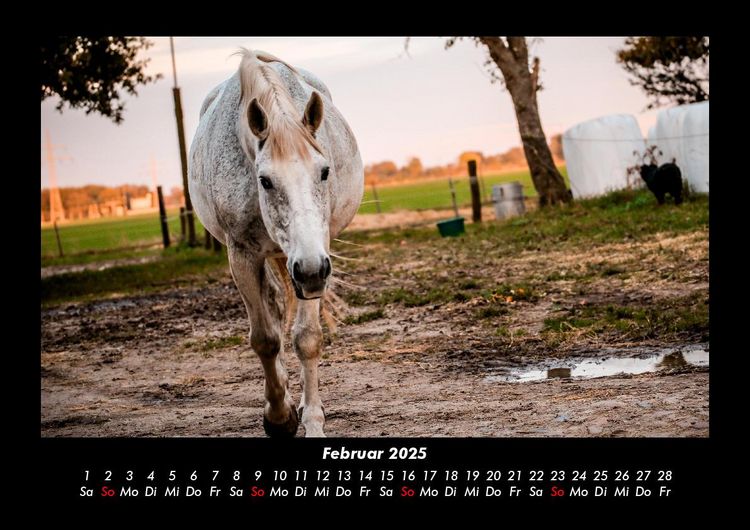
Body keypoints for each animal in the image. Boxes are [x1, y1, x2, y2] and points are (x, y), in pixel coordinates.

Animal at [188, 49, 364, 437]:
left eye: (324, 172)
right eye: (265, 180)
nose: (310, 270)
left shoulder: (316, 258)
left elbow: (307, 338)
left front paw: (311, 419)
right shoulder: (242, 255)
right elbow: (265, 339)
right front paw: (279, 417)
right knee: (271, 306)